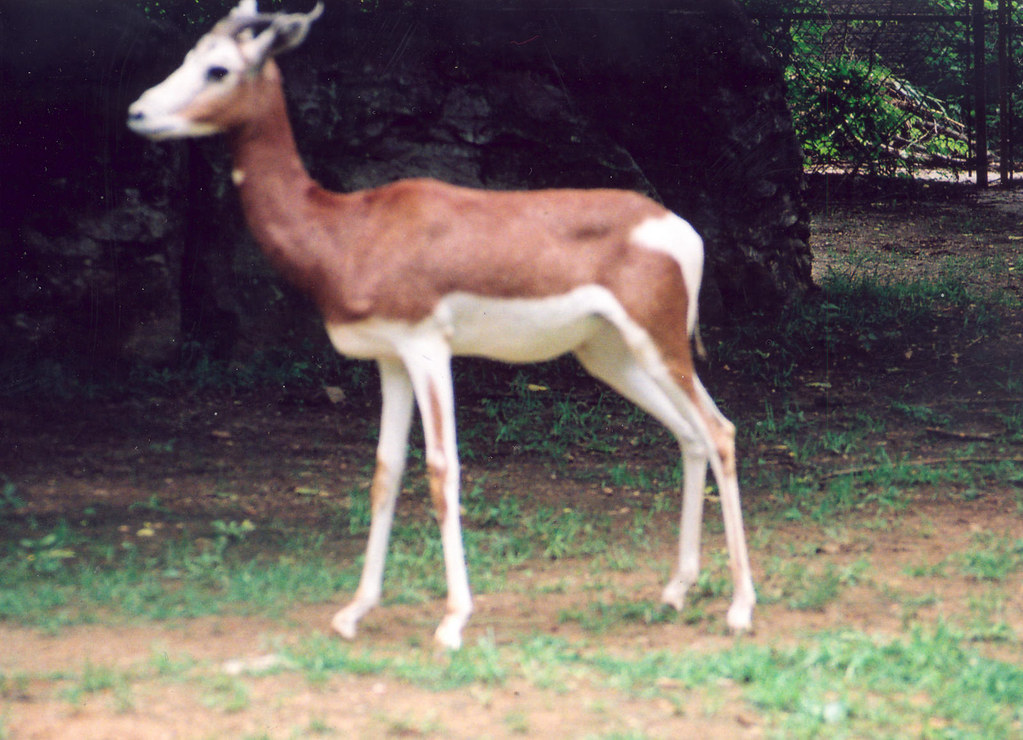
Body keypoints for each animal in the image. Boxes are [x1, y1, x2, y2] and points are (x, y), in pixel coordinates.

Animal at [127, 0, 756, 650]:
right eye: (189, 56)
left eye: (219, 69)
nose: (138, 113)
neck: (346, 230)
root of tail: (682, 230)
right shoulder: (390, 359)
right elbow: (385, 473)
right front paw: (354, 611)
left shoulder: (427, 347)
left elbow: (440, 469)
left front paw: (453, 620)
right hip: (611, 355)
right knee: (689, 436)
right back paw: (676, 591)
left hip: (660, 346)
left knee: (720, 431)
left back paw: (740, 608)